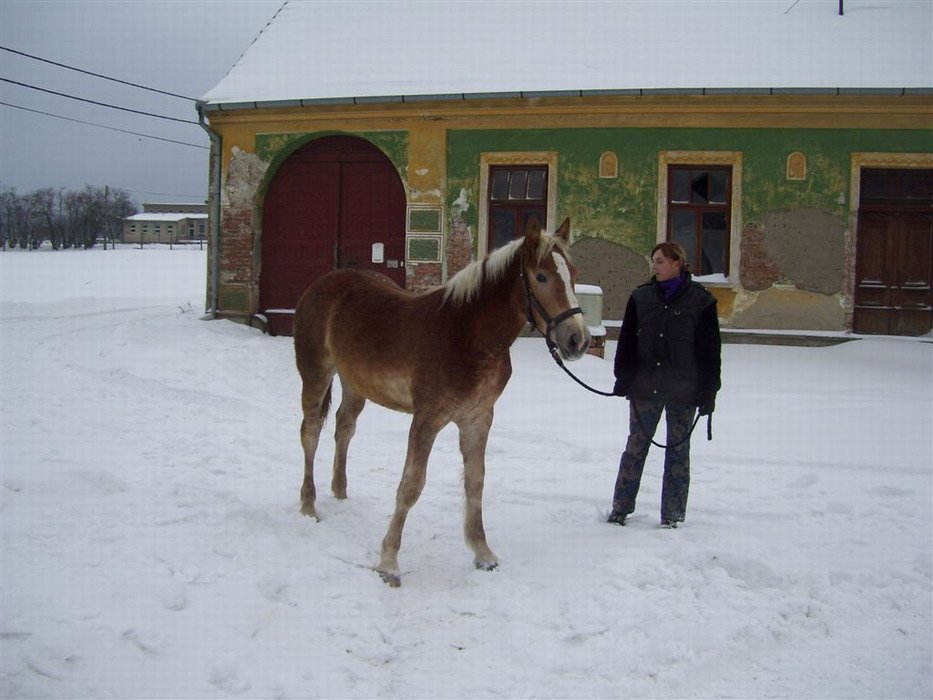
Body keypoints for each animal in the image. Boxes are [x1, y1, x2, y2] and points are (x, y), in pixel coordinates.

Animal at [294, 217, 588, 584]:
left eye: (573, 273)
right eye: (542, 277)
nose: (577, 339)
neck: (468, 336)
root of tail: (320, 286)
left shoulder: (478, 418)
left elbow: (476, 481)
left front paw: (482, 552)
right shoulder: (427, 419)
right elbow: (411, 485)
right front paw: (389, 562)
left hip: (355, 385)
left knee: (343, 428)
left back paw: (340, 492)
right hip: (316, 375)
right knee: (310, 433)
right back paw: (309, 505)